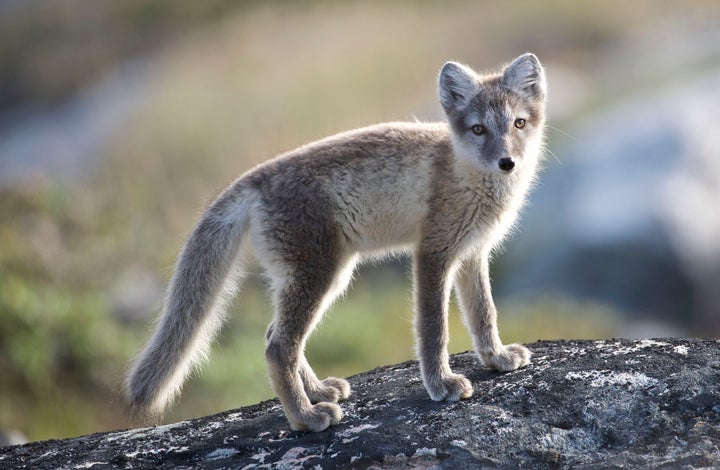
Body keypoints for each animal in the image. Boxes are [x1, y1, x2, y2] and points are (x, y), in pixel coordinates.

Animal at [126, 53, 548, 432]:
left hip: (328, 277)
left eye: (518, 123)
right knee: (277, 348)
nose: (507, 162)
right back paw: (306, 418)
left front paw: (496, 358)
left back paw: (318, 393)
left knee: (274, 335)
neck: (466, 176)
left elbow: (484, 314)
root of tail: (255, 177)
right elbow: (434, 328)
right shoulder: (432, 254)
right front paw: (441, 385)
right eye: (478, 130)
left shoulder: (472, 254)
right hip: (318, 275)